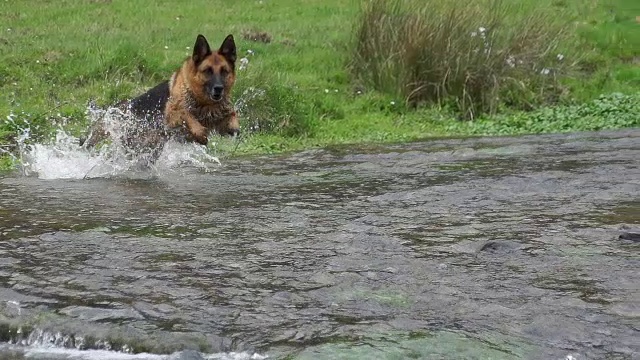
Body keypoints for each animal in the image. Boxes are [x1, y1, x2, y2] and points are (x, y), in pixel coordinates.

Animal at [80, 34, 240, 161]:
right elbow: (187, 114)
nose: (218, 88)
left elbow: (232, 116)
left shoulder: (221, 115)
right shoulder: (172, 113)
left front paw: (233, 128)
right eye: (207, 71)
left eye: (224, 71)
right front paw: (200, 133)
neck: (203, 102)